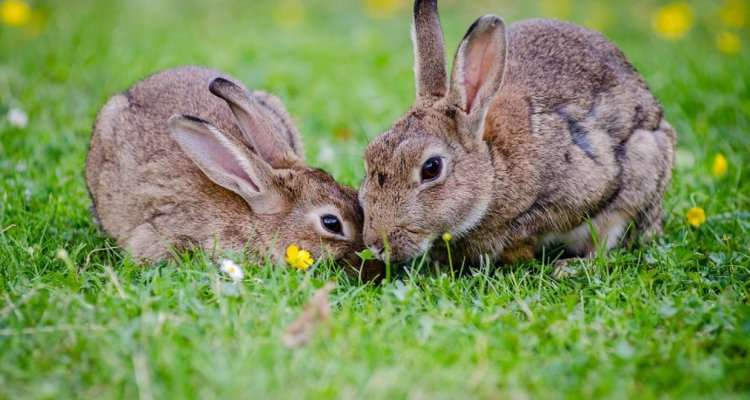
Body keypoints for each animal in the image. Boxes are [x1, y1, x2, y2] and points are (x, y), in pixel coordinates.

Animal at [358, 0, 676, 272]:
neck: (493, 169)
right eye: (369, 157)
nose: (376, 244)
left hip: (642, 170)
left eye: (431, 168)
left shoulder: (585, 186)